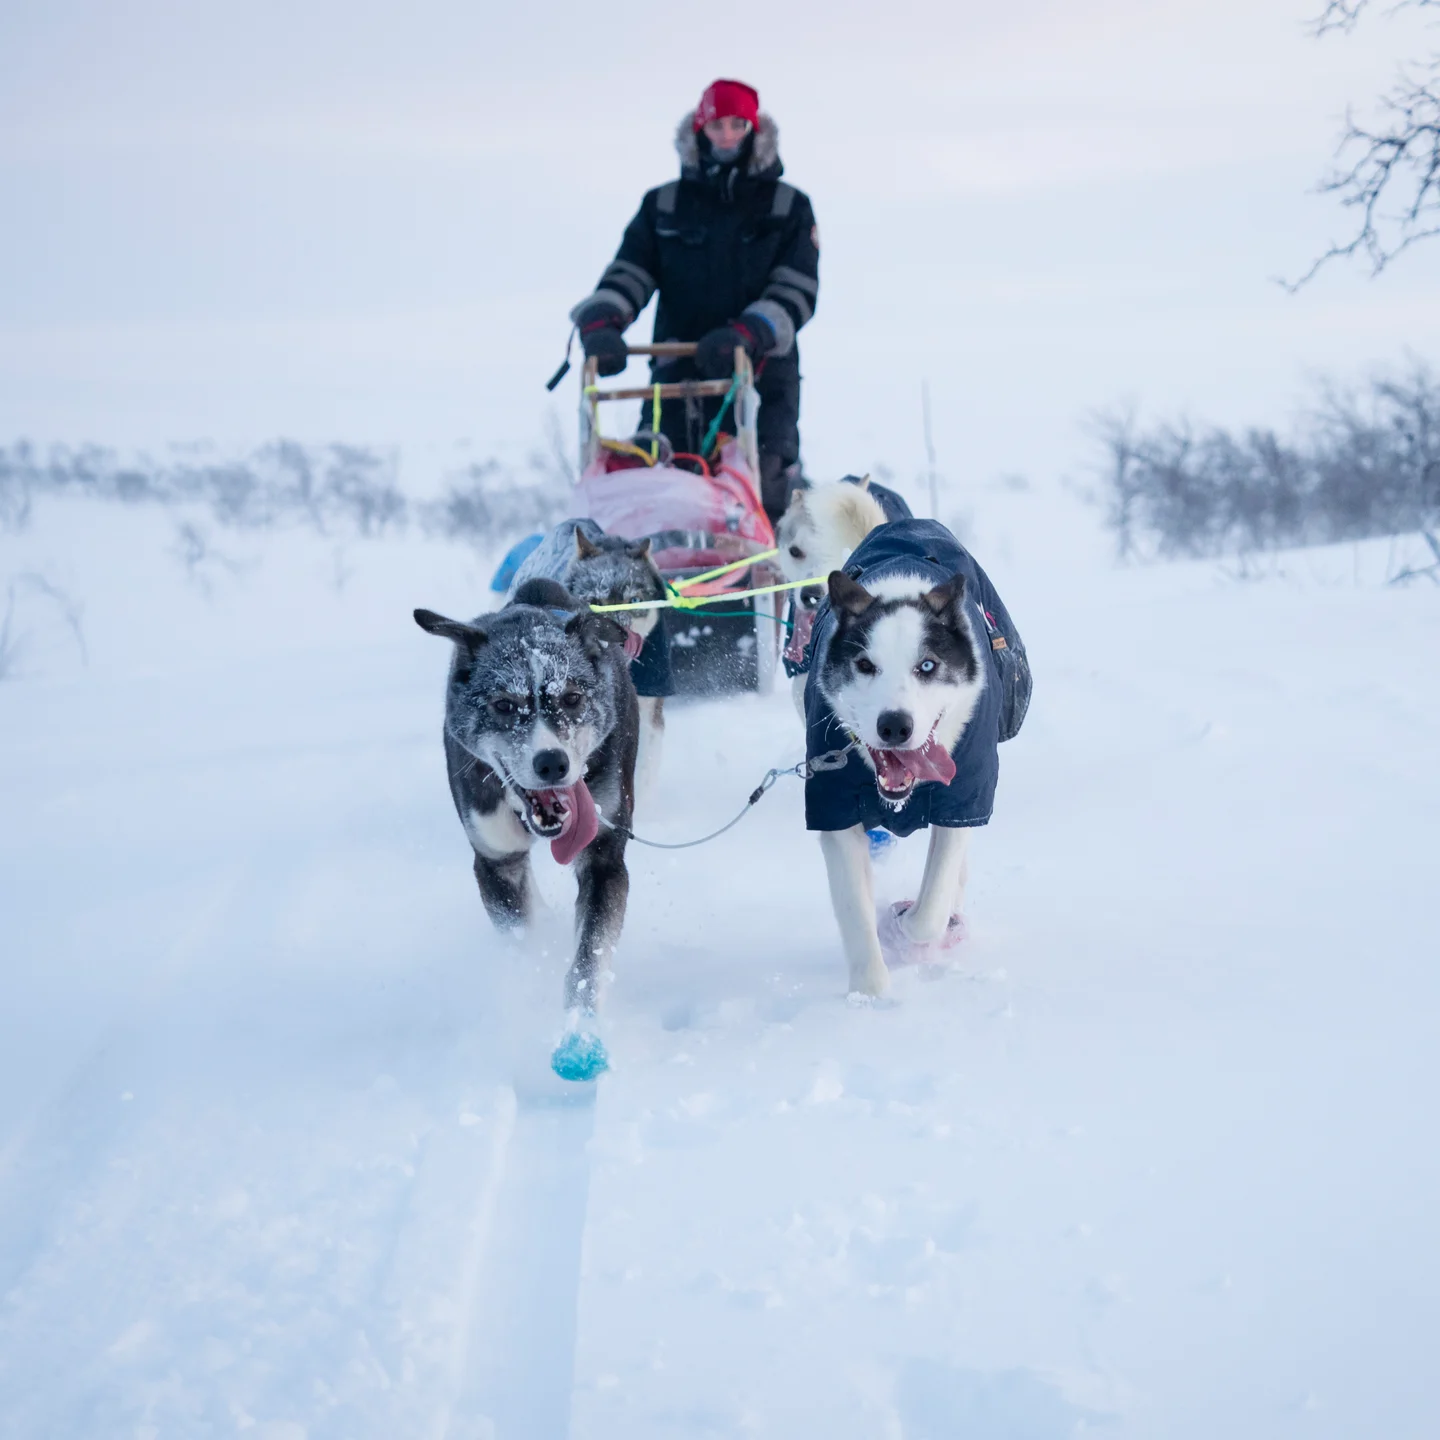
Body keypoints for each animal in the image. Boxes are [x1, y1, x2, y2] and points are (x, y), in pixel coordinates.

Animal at [417, 576, 642, 1082]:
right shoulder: (496, 864)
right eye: (504, 704)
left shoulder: (604, 861)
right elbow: (521, 943)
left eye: (572, 697)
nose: (552, 761)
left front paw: (581, 1035)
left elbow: (587, 961)